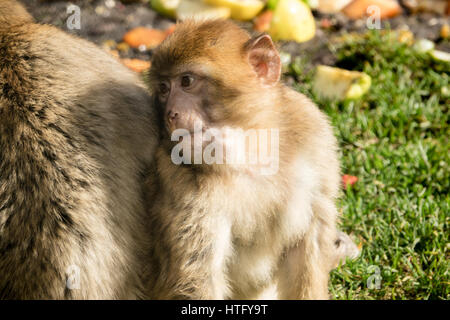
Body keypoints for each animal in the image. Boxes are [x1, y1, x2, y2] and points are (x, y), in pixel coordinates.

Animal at [144, 19, 356, 300]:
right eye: (164, 89)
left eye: (186, 81)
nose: (170, 114)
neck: (251, 156)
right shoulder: (178, 179)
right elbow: (197, 275)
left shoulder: (315, 140)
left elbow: (309, 238)